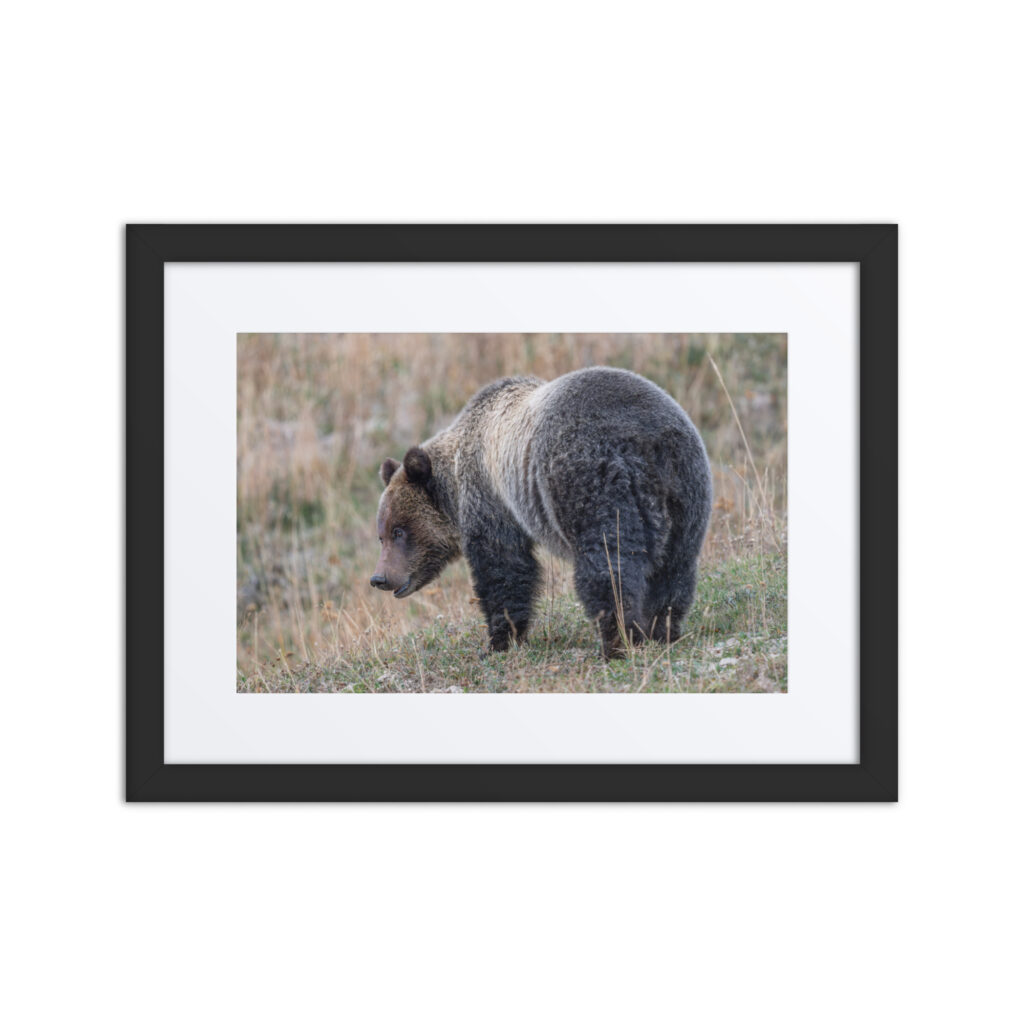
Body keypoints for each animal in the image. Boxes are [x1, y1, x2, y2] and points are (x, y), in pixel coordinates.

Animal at [370, 366, 712, 659]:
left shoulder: (491, 500)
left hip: (591, 482)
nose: (380, 578)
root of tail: (646, 442)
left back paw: (617, 641)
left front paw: (499, 641)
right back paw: (661, 629)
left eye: (399, 530)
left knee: (608, 565)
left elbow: (504, 569)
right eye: (381, 535)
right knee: (674, 567)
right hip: (686, 492)